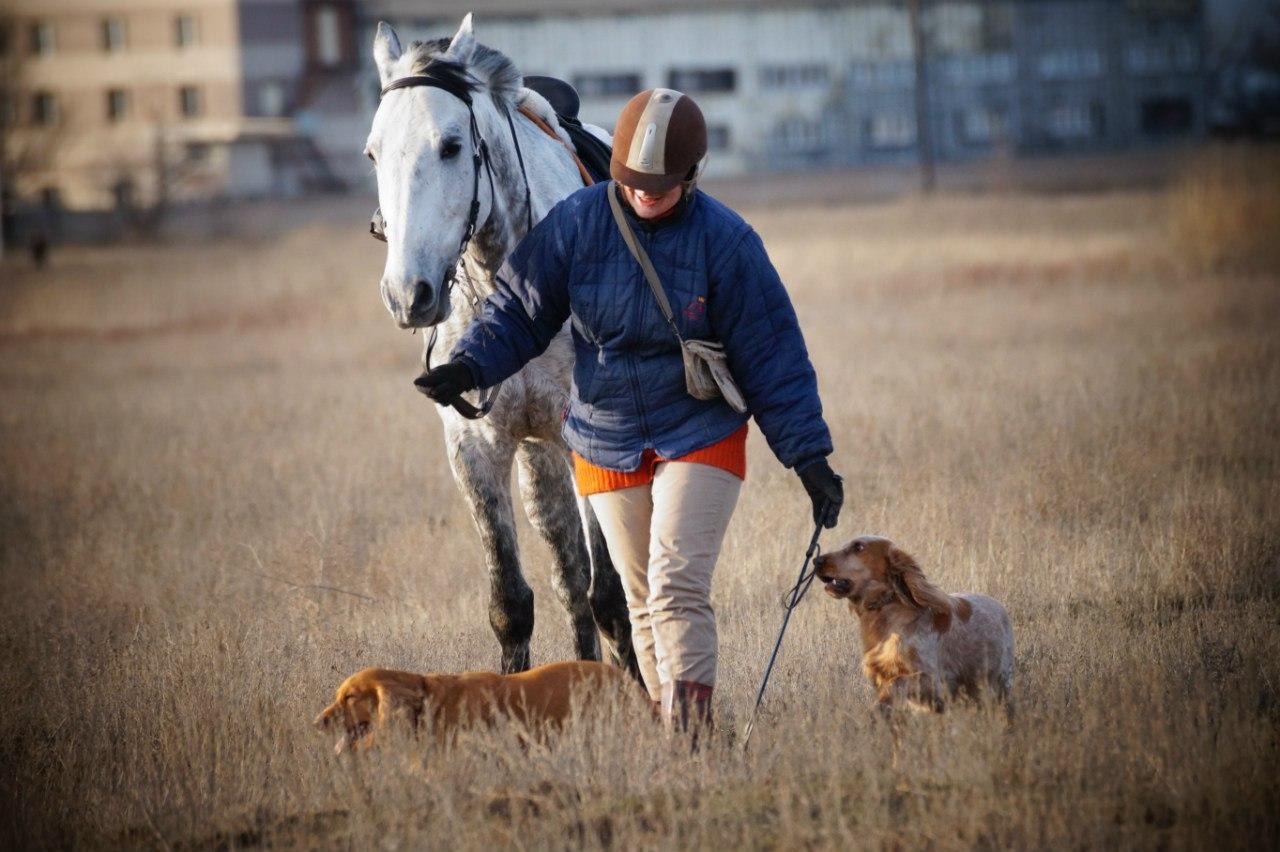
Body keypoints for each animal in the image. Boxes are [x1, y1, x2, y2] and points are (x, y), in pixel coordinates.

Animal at [366, 16, 634, 675]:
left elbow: (612, 596)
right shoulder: (475, 449)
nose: (408, 293)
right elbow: (511, 603)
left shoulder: (590, 440)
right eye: (373, 152)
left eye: (451, 146)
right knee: (568, 572)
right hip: (539, 458)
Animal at [814, 534, 1013, 711]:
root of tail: (1000, 607)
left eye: (858, 547)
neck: (886, 614)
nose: (816, 561)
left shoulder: (931, 681)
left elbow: (896, 683)